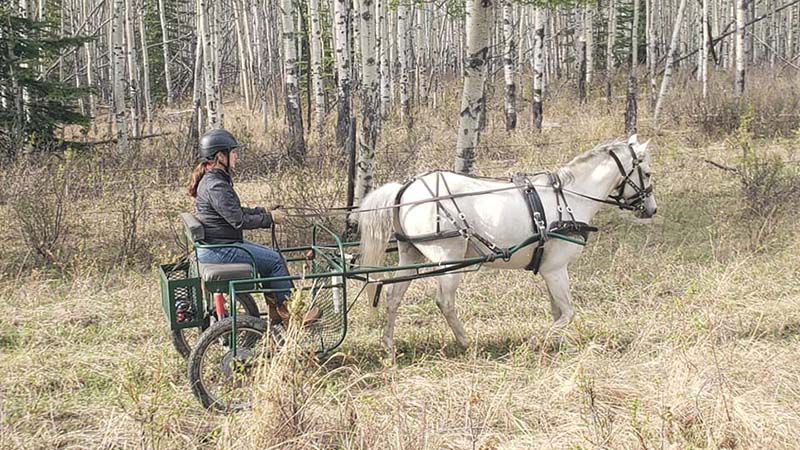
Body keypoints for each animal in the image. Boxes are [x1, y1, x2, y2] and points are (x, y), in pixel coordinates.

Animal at [358, 135, 656, 350]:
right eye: (648, 173)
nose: (651, 209)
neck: (569, 199)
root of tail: (405, 188)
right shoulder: (556, 269)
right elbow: (566, 314)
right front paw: (537, 341)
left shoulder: (549, 270)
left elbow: (558, 312)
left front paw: (562, 344)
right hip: (449, 258)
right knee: (445, 301)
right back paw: (466, 343)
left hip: (411, 254)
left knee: (393, 296)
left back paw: (389, 346)